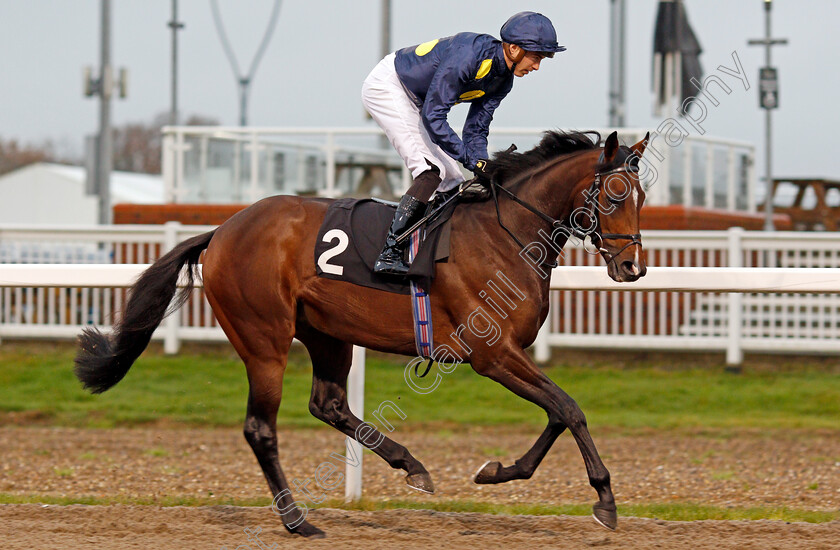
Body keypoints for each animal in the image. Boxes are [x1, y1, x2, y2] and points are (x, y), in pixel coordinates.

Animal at [75, 130, 648, 540]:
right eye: (613, 194)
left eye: (642, 196)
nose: (632, 267)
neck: (505, 234)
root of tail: (222, 230)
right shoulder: (492, 354)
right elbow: (569, 407)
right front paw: (605, 500)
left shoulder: (509, 354)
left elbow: (557, 412)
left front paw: (498, 471)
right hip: (264, 338)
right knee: (261, 428)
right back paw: (298, 520)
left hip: (328, 334)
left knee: (328, 403)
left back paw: (410, 466)